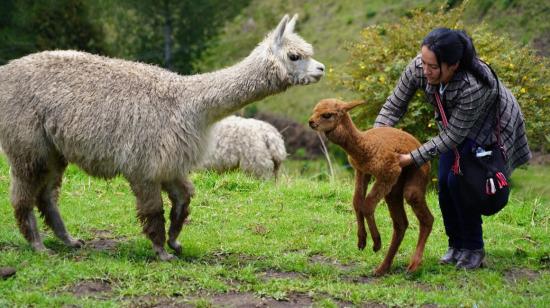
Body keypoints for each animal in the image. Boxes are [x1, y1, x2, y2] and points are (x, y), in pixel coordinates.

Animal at [0, 14, 326, 260]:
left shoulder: (171, 162)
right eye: (294, 56)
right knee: (24, 194)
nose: (321, 69)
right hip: (25, 141)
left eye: (310, 52)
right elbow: (153, 210)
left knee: (47, 194)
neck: (189, 106)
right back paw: (38, 245)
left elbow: (184, 200)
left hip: (52, 149)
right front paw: (161, 252)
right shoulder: (144, 164)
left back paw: (68, 240)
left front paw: (175, 242)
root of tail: (6, 70)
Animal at [310, 98, 436, 274]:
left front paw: (376, 242)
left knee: (424, 215)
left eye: (327, 114)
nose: (311, 122)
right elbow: (357, 202)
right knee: (401, 224)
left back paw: (413, 265)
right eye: (314, 110)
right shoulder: (362, 171)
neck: (366, 146)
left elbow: (367, 205)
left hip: (416, 172)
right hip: (394, 189)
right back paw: (382, 268)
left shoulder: (389, 172)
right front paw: (362, 240)